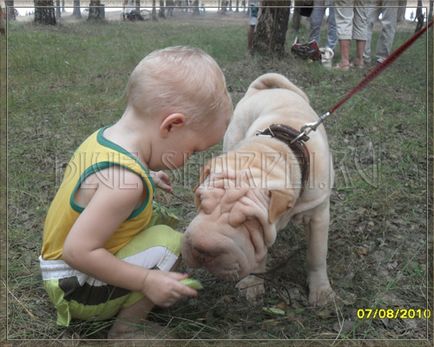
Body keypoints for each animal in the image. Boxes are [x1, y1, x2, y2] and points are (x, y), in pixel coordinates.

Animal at [181, 73, 334, 308]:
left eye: (249, 221)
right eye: (200, 200)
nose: (202, 250)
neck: (281, 148)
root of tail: (264, 89)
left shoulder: (318, 215)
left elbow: (316, 254)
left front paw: (321, 291)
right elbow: (259, 252)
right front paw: (252, 284)